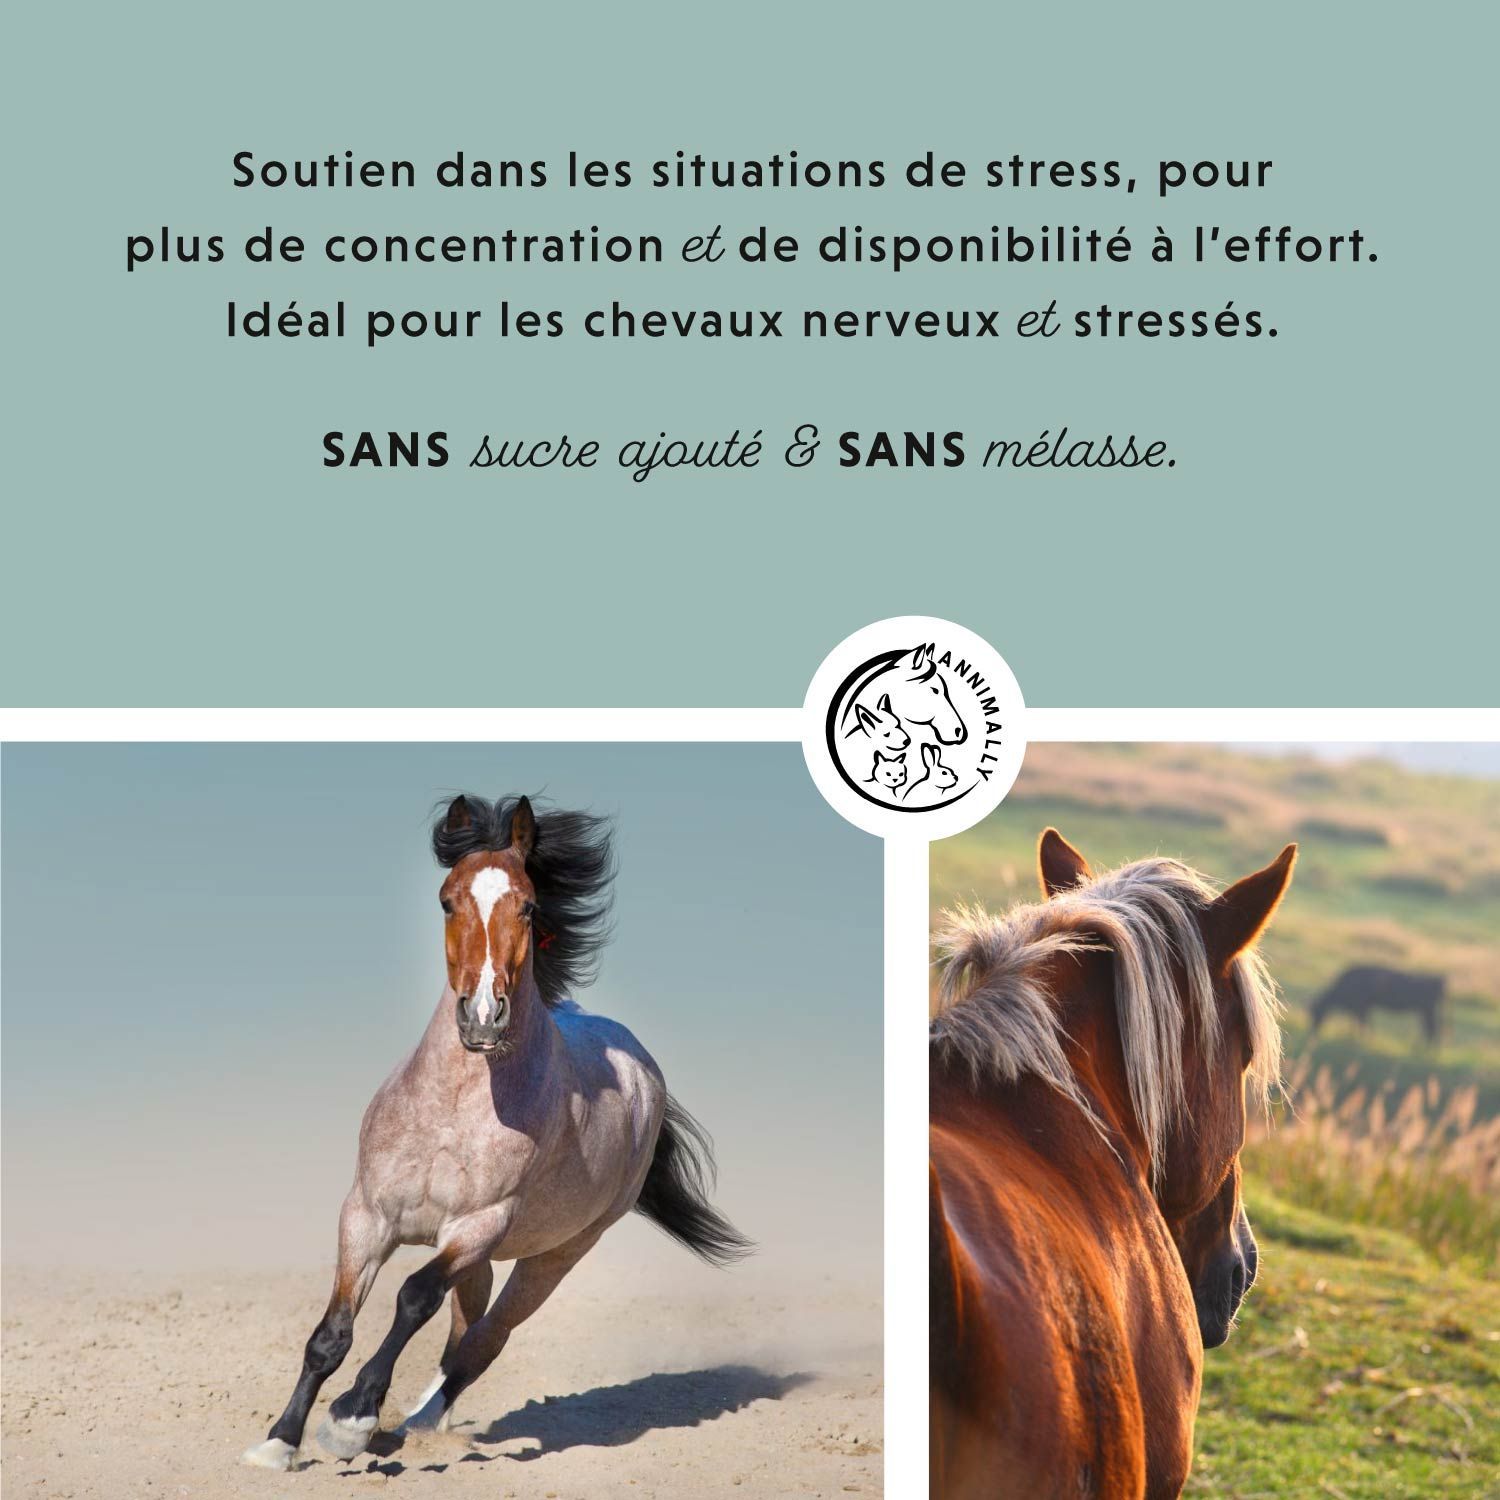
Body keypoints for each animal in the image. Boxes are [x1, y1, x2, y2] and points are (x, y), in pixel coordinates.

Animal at [242, 794, 751, 1472]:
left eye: (528, 905)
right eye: (446, 900)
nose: (483, 1016)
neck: (453, 1111)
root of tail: (643, 1070)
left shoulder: (477, 1225)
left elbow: (413, 1298)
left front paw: (351, 1419)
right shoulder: (367, 1216)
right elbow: (332, 1333)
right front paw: (279, 1442)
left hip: (555, 1255)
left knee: (485, 1340)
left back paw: (414, 1423)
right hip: (481, 1261)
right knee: (464, 1332)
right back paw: (411, 1424)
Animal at [1309, 965, 1445, 1044]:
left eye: (1316, 1013)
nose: (1313, 1031)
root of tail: (1437, 979)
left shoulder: (1359, 1006)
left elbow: (1361, 1022)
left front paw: (1359, 1038)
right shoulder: (1364, 1007)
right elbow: (1363, 1022)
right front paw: (1361, 1038)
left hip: (1427, 1011)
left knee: (1433, 1029)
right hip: (1425, 1012)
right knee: (1430, 1029)